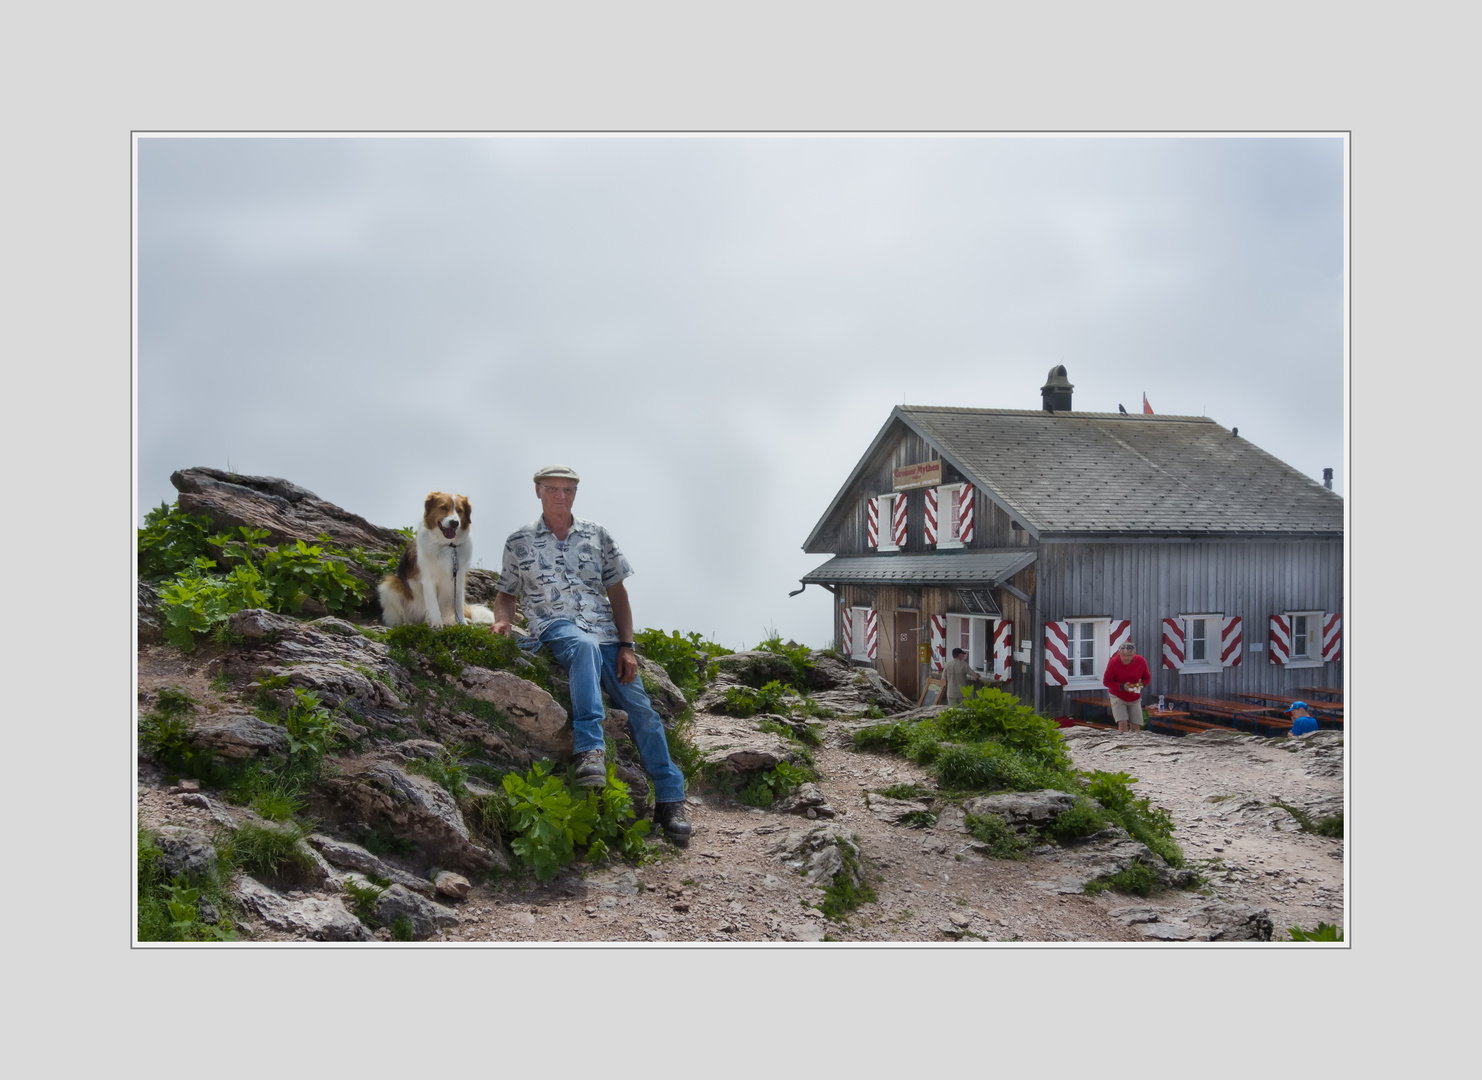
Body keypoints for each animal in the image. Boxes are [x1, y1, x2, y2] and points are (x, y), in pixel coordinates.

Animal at [379, 488, 494, 622]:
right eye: (443, 507)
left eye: (460, 510)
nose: (454, 523)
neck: (447, 545)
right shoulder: (428, 579)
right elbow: (433, 605)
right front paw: (436, 624)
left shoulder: (459, 580)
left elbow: (459, 606)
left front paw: (462, 623)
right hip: (389, 585)